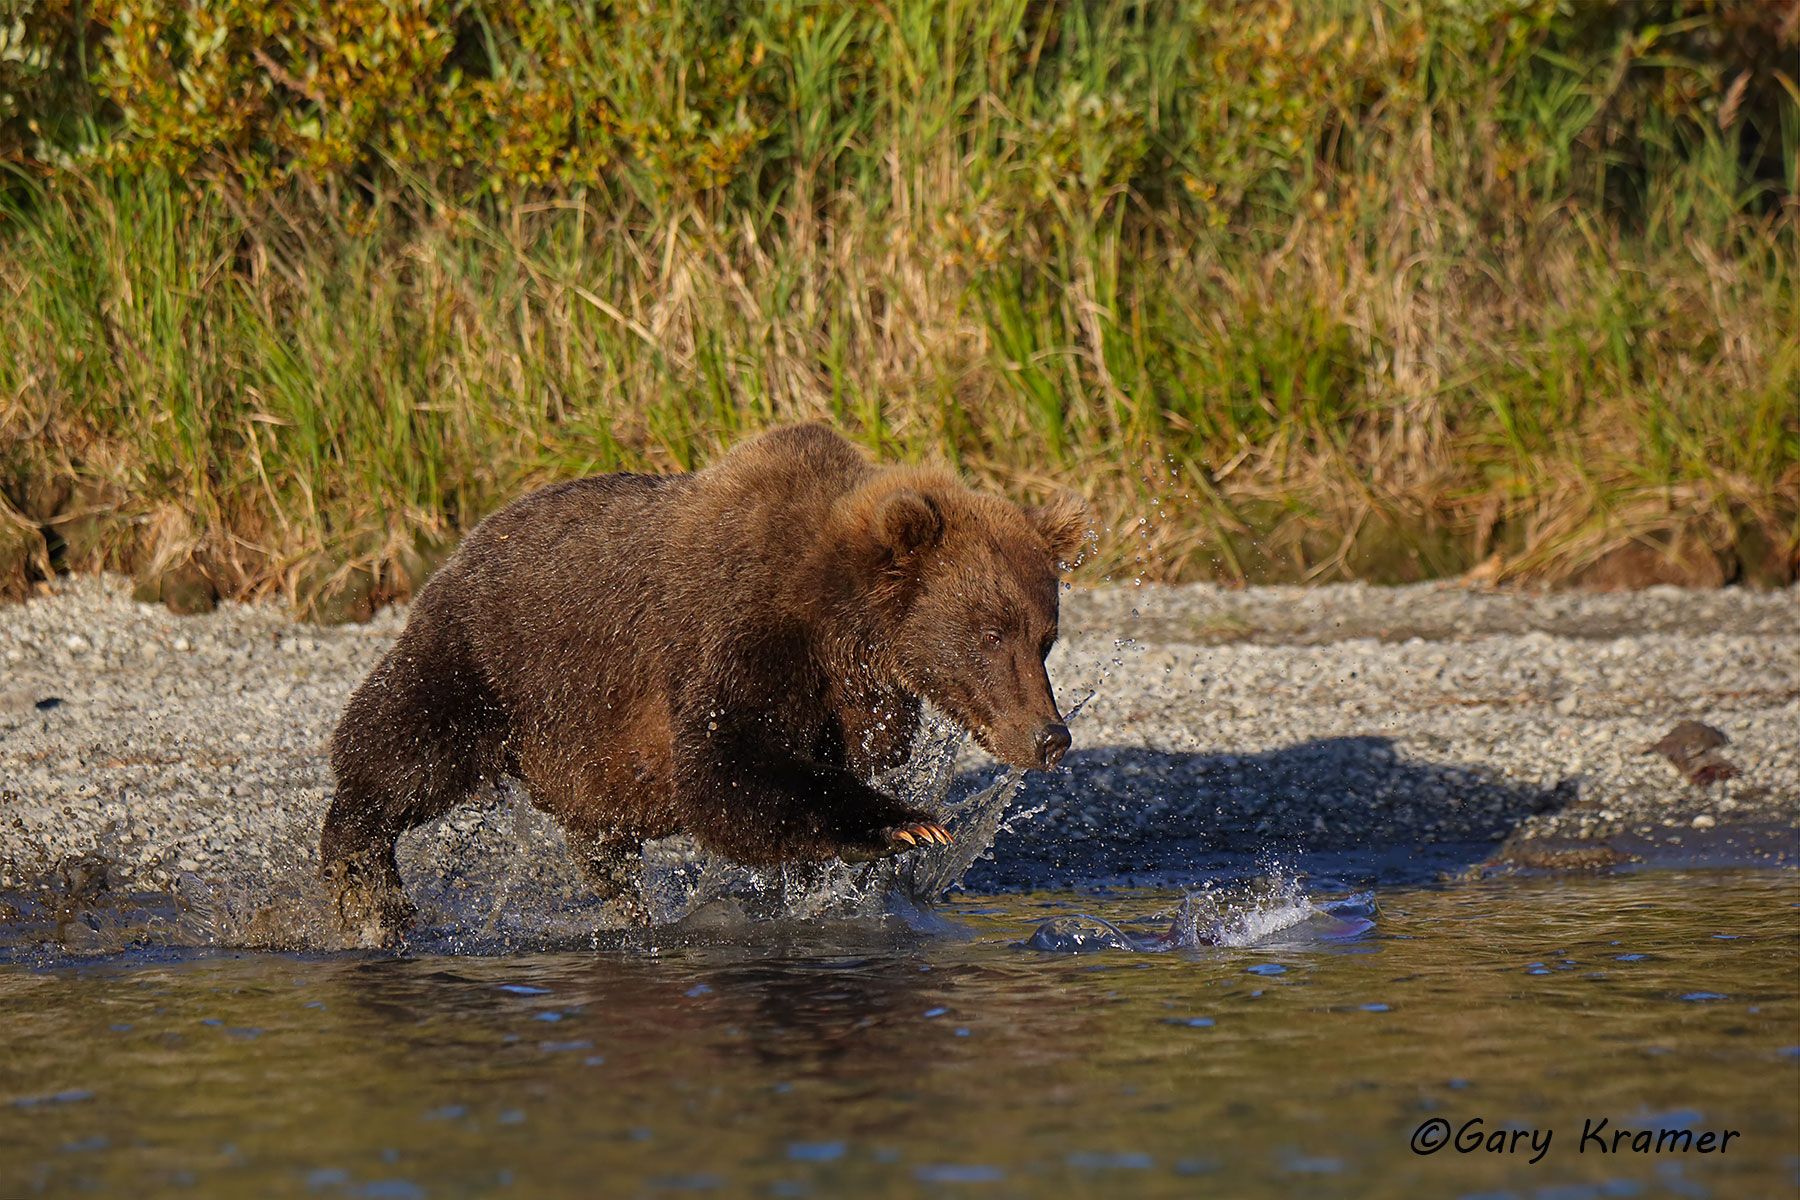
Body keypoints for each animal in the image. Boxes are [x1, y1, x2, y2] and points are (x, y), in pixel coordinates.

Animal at [319, 423, 1089, 939]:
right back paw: (367, 886)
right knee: (402, 750)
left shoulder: (854, 702)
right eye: (989, 634)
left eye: (1044, 638)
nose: (1049, 735)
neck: (836, 621)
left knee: (598, 835)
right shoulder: (738, 635)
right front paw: (907, 824)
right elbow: (726, 771)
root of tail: (469, 539)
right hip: (487, 654)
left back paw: (629, 903)